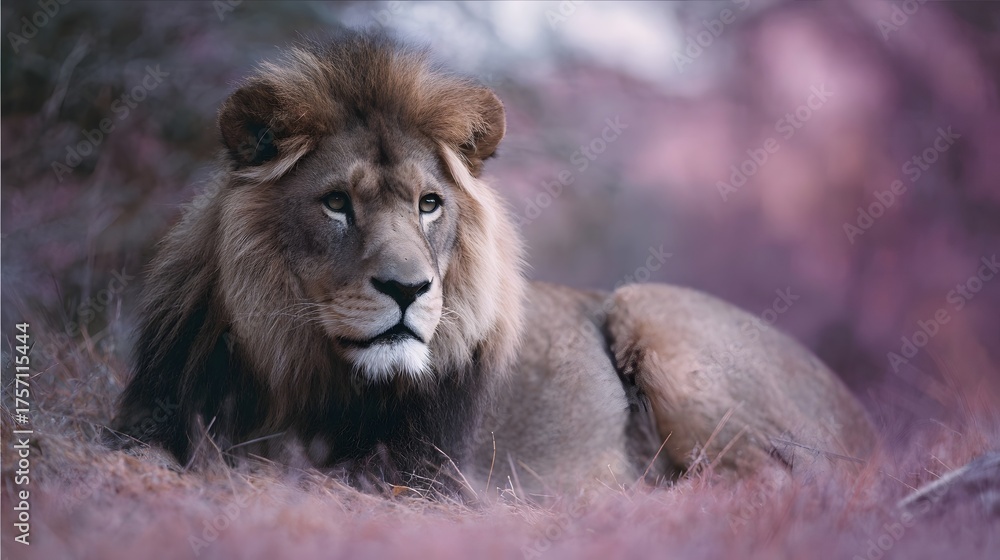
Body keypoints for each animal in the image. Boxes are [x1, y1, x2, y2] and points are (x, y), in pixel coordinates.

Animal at [109, 30, 875, 499]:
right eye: (335, 204)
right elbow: (140, 454)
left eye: (429, 203)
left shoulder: (430, 477)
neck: (300, 364)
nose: (407, 288)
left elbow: (294, 473)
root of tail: (863, 416)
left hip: (653, 311)